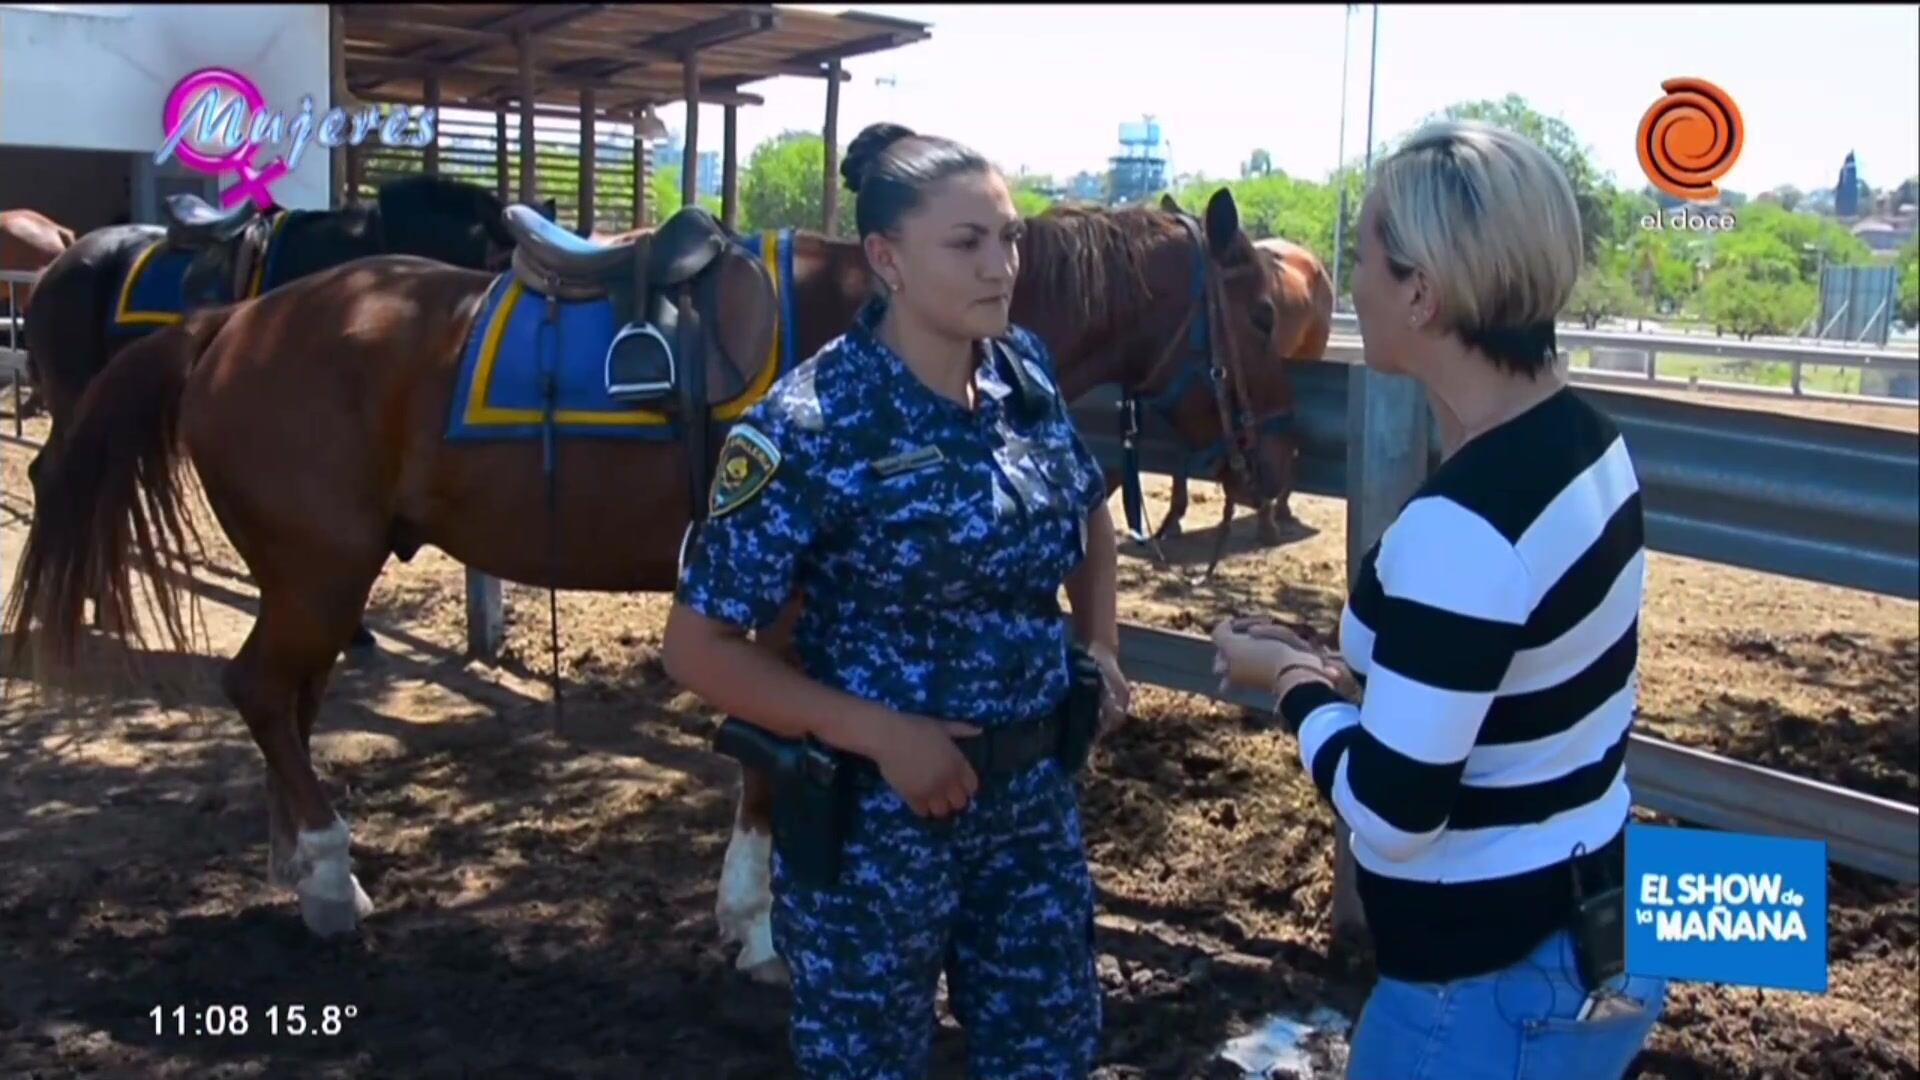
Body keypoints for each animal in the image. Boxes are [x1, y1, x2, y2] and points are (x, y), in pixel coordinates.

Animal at [7, 187, 1290, 941]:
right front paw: (759, 923)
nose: (1274, 464)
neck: (892, 327)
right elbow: (782, 755)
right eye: (1270, 317)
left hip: (314, 576)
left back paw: (294, 862)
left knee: (284, 699)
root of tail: (228, 325)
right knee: (266, 692)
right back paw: (327, 877)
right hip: (321, 571)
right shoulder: (781, 606)